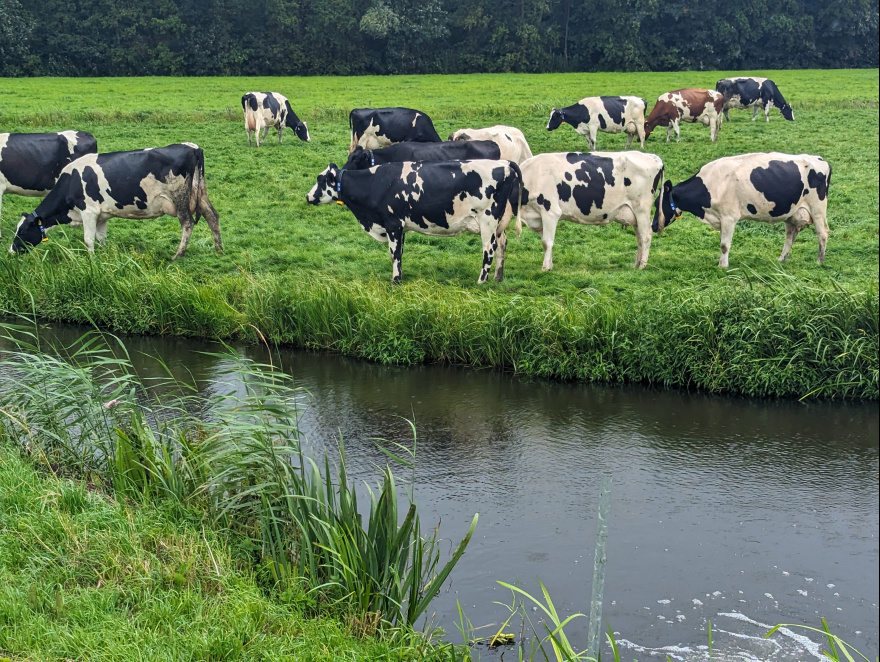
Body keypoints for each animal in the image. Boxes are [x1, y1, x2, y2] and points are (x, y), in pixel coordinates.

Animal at [9, 144, 222, 260]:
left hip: (180, 198)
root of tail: (193, 148)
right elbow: (101, 238)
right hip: (200, 193)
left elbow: (88, 239)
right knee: (212, 216)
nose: (11, 251)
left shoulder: (89, 211)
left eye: (23, 231)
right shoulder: (102, 215)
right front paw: (103, 255)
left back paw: (178, 255)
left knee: (187, 223)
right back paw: (219, 250)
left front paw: (91, 261)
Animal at [306, 162, 520, 286]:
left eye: (321, 179)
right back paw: (498, 278)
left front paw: (395, 281)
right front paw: (399, 277)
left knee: (489, 249)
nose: (307, 196)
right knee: (502, 244)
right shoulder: (400, 227)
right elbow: (400, 252)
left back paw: (481, 281)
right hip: (498, 223)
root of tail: (505, 164)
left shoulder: (392, 223)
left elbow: (394, 253)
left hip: (487, 220)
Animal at [512, 152, 664, 272]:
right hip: (635, 216)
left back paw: (643, 265)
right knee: (639, 238)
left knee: (646, 236)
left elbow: (546, 242)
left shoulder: (550, 211)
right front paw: (550, 265)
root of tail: (652, 156)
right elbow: (545, 242)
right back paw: (637, 264)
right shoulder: (539, 216)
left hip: (642, 209)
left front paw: (545, 268)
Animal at [652, 154, 832, 268]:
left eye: (656, 203)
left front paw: (722, 265)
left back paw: (820, 261)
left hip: (817, 209)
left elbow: (724, 245)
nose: (653, 226)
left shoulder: (729, 217)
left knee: (822, 233)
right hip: (791, 213)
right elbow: (723, 242)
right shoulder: (721, 218)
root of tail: (820, 159)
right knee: (790, 236)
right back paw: (781, 259)